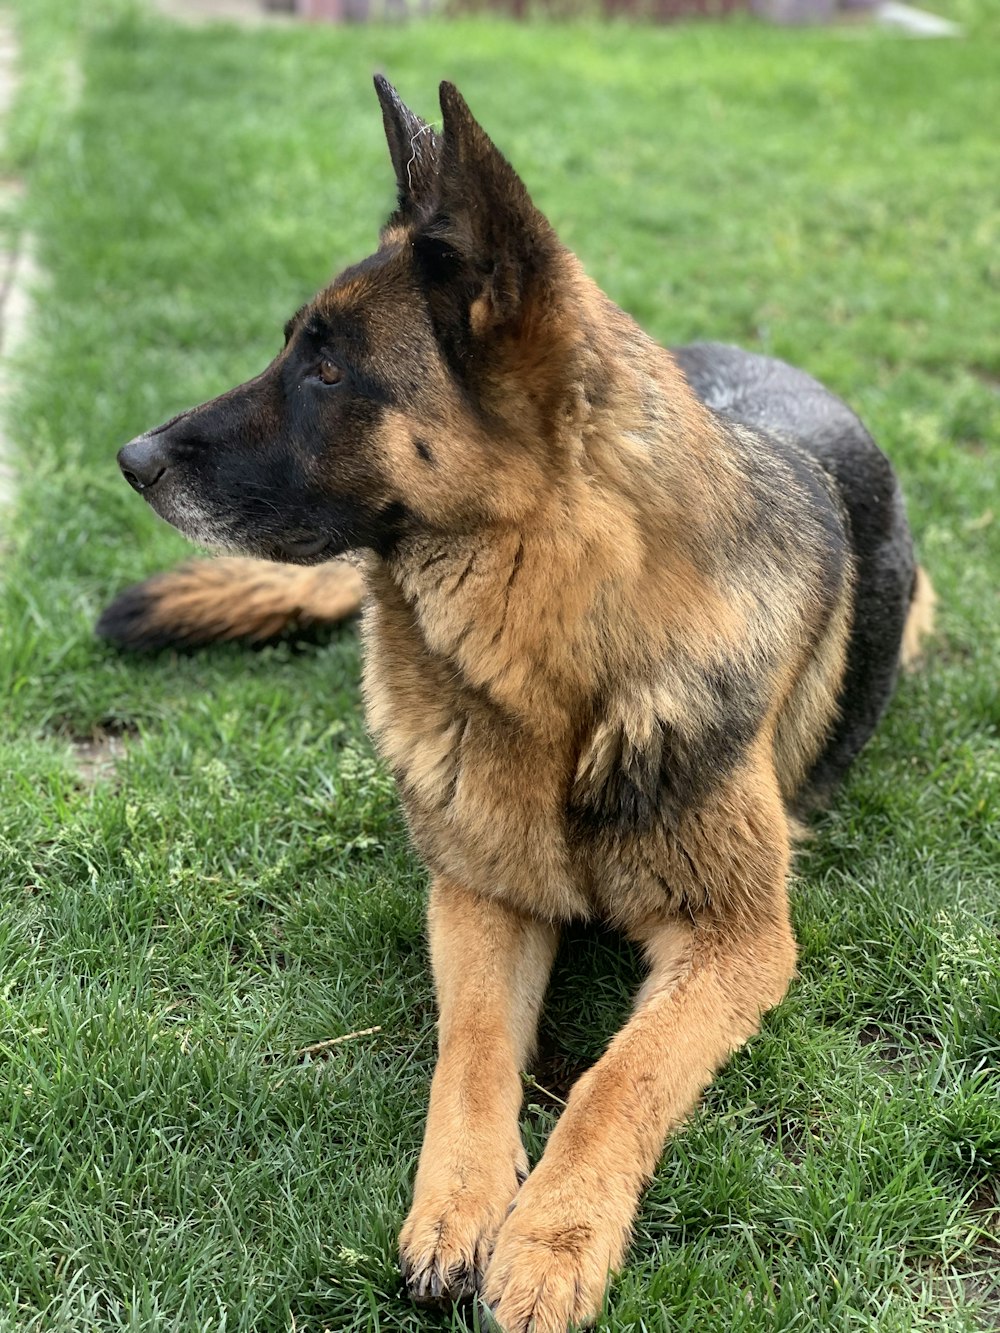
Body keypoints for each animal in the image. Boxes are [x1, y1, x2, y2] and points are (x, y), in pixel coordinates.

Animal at [98, 80, 938, 1333]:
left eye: (329, 373)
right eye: (295, 348)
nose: (131, 455)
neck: (560, 662)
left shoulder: (736, 938)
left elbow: (617, 1077)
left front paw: (552, 1233)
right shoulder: (479, 893)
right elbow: (476, 1047)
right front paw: (460, 1207)